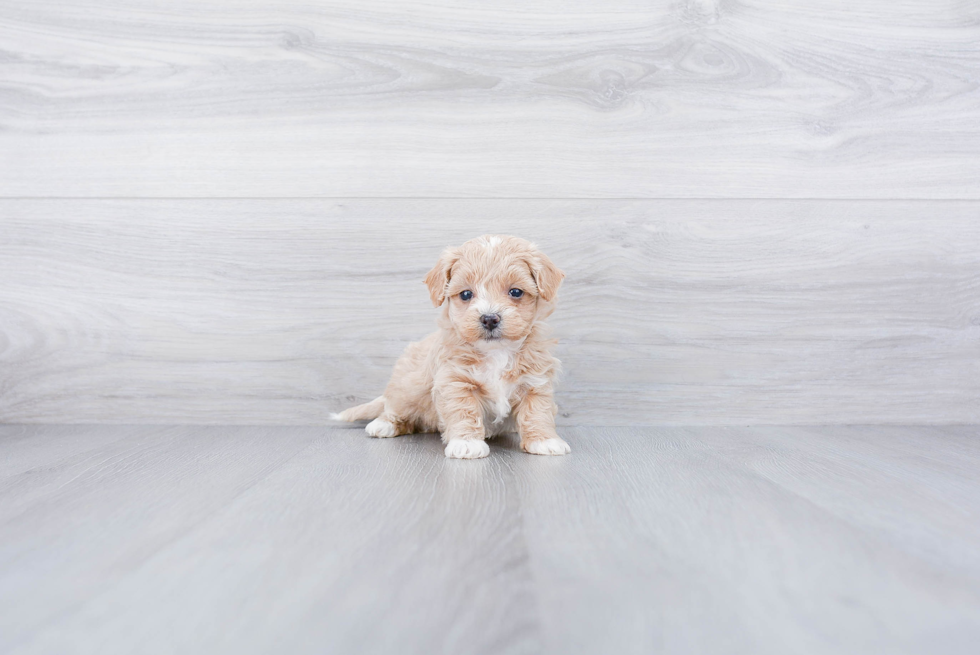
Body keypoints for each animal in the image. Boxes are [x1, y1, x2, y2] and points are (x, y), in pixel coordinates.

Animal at [334, 236, 572, 462]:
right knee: (394, 407)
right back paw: (384, 424)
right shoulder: (455, 381)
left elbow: (537, 412)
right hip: (407, 388)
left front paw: (544, 440)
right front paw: (467, 443)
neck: (497, 352)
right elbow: (464, 411)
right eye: (466, 294)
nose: (489, 318)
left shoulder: (535, 381)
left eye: (515, 292)